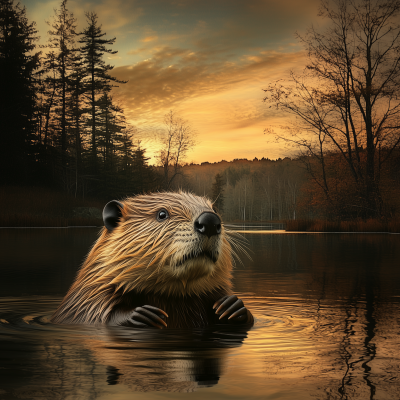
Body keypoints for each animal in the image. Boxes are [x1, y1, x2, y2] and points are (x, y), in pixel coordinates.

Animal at [51, 192, 255, 330]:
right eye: (162, 214)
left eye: (214, 210)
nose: (210, 220)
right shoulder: (88, 300)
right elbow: (97, 315)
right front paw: (144, 315)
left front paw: (231, 307)